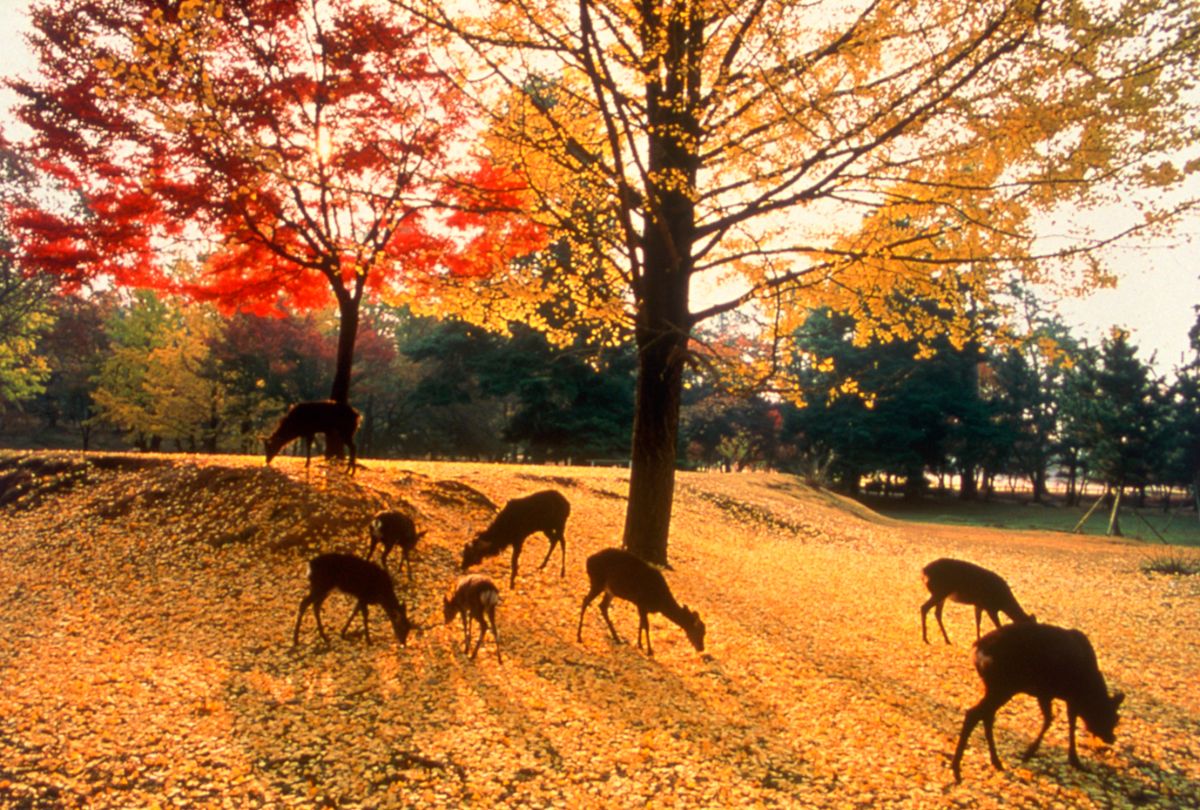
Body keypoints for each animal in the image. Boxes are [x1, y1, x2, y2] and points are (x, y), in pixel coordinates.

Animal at [945, 624, 1123, 782]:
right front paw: (1072, 760)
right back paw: (957, 769)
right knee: (975, 713)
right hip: (1003, 685)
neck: (1088, 690)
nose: (1111, 738)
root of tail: (978, 650)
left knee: (986, 715)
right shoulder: (1067, 696)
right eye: (1113, 717)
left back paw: (995, 762)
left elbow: (1051, 719)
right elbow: (1065, 721)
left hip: (997, 687)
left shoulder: (1046, 694)